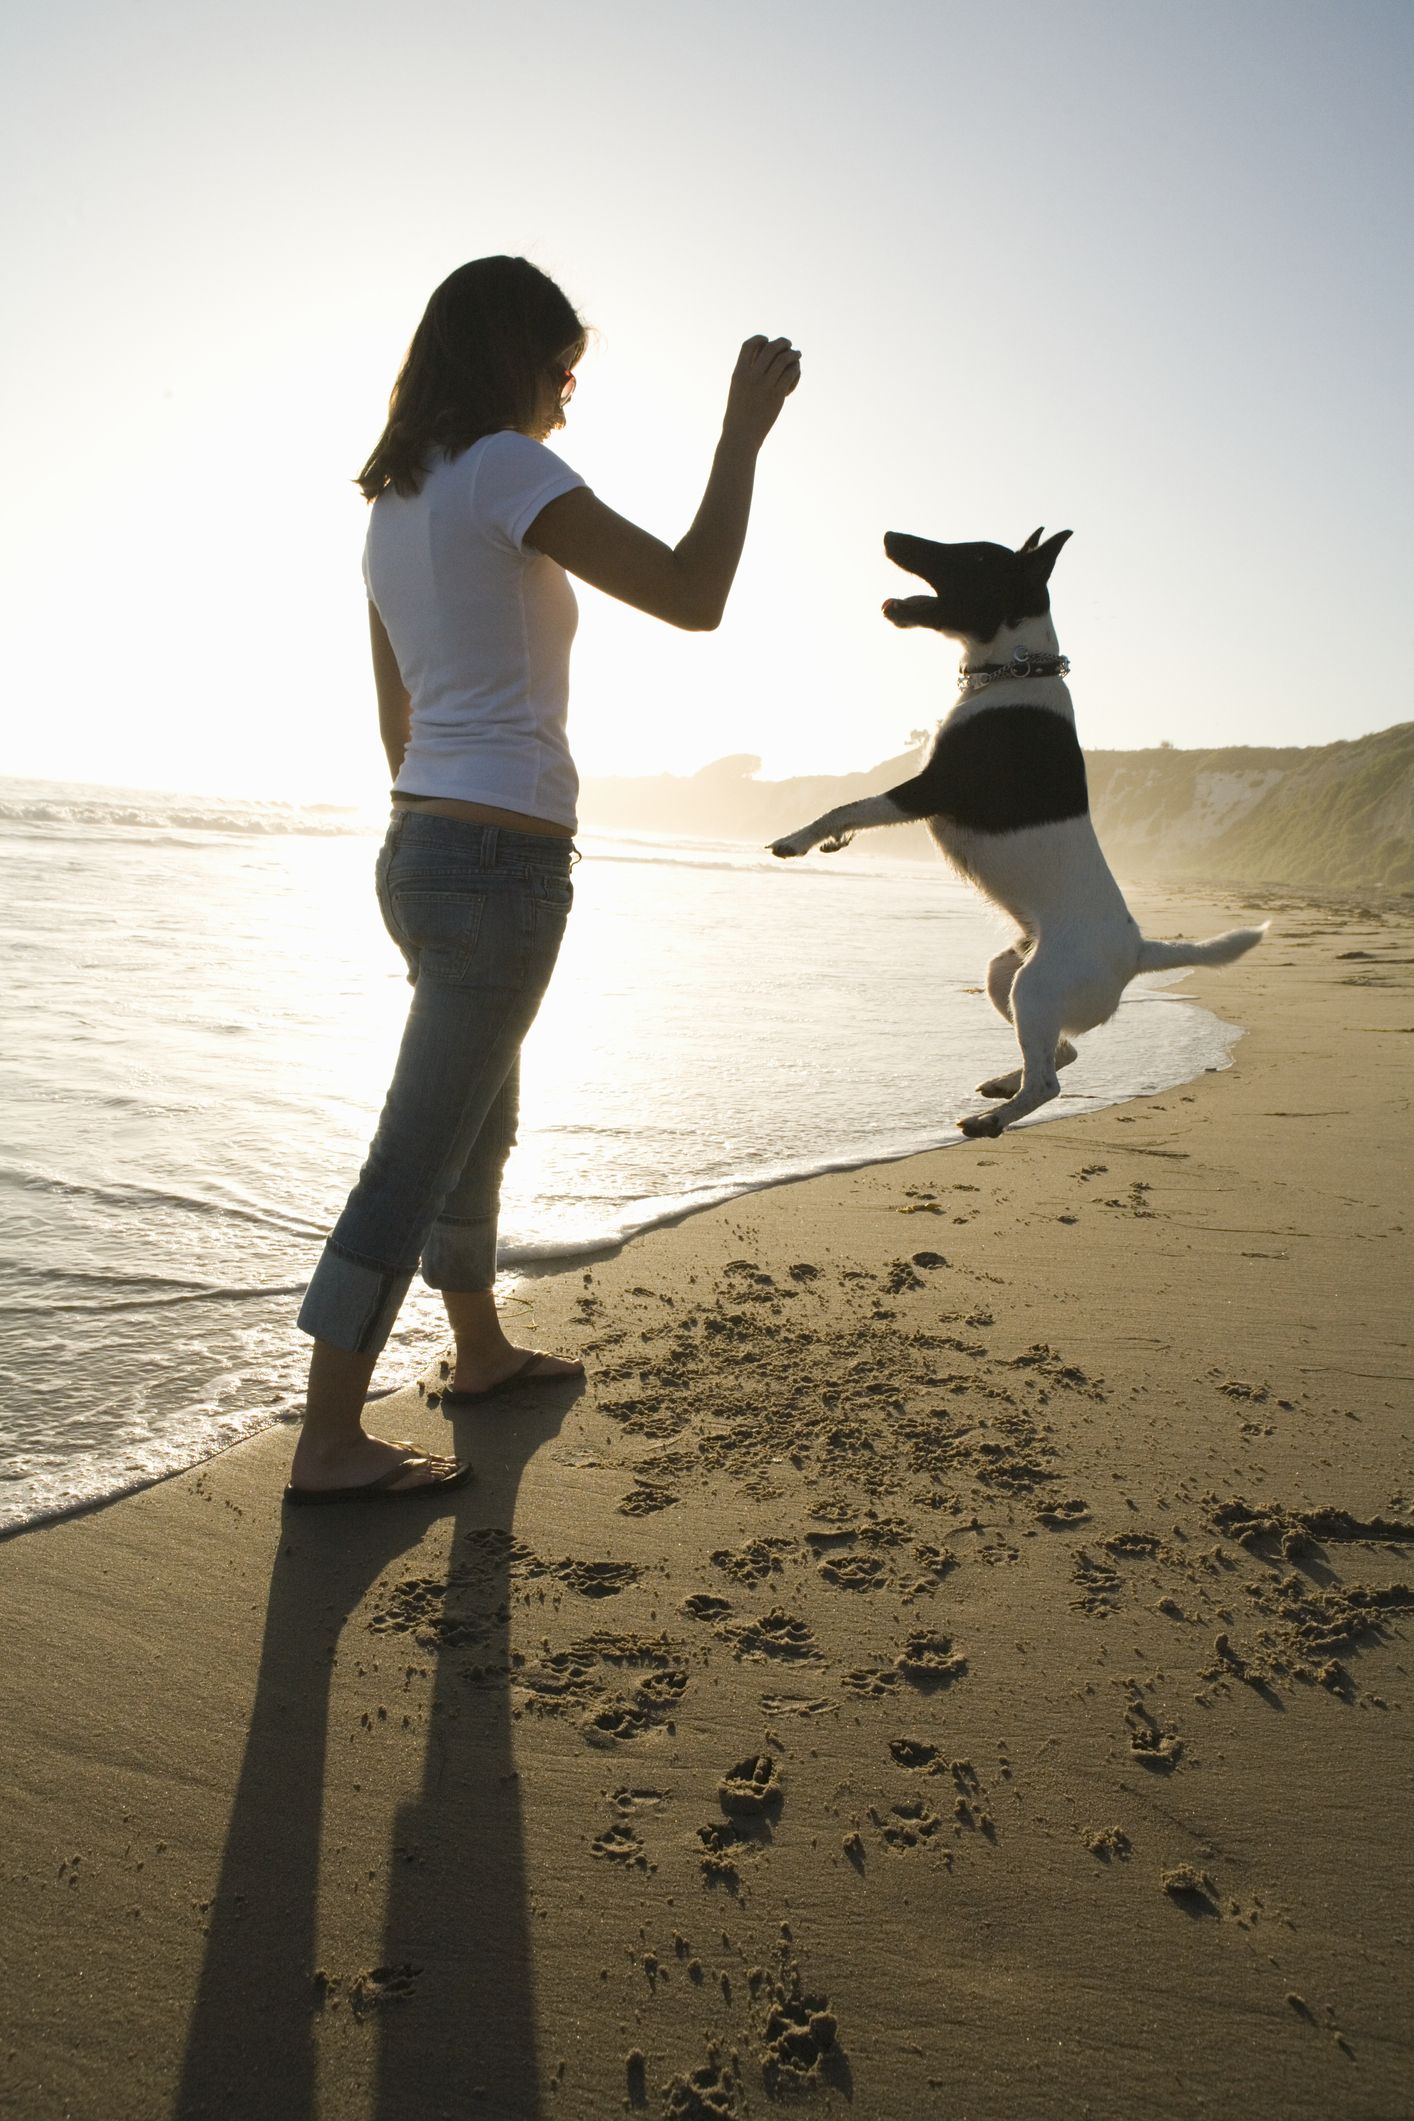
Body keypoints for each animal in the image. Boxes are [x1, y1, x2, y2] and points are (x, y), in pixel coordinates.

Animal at [767, 526, 1263, 1145]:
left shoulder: (930, 789)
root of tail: (1139, 952)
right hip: (1006, 975)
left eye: (974, 556)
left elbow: (846, 806)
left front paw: (797, 841)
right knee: (1062, 1054)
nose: (890, 535)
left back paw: (990, 1121)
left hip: (1034, 986)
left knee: (1049, 1081)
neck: (1017, 669)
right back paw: (1004, 1086)